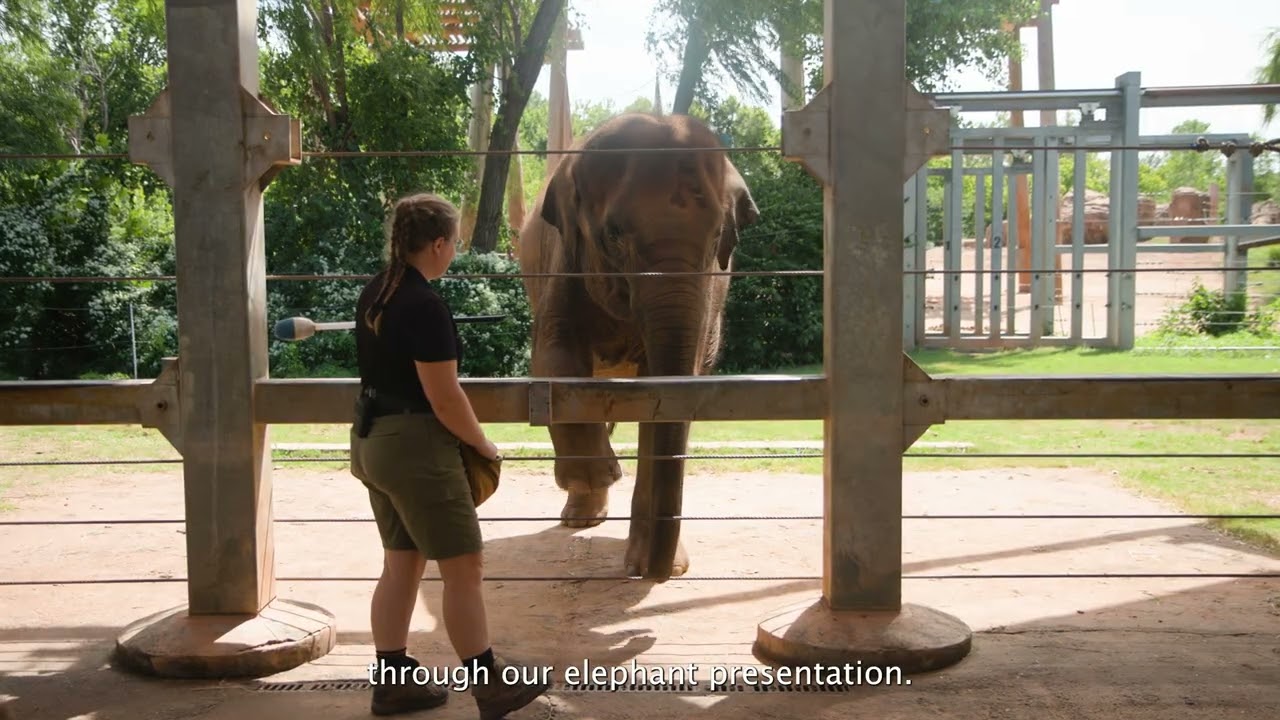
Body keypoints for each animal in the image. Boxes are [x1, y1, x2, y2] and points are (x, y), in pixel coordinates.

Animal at [515, 112, 760, 580]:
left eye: (719, 234)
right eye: (613, 235)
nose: (659, 573)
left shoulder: (710, 291)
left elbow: (670, 395)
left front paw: (659, 563)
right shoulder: (562, 260)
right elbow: (553, 356)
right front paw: (599, 474)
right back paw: (581, 516)